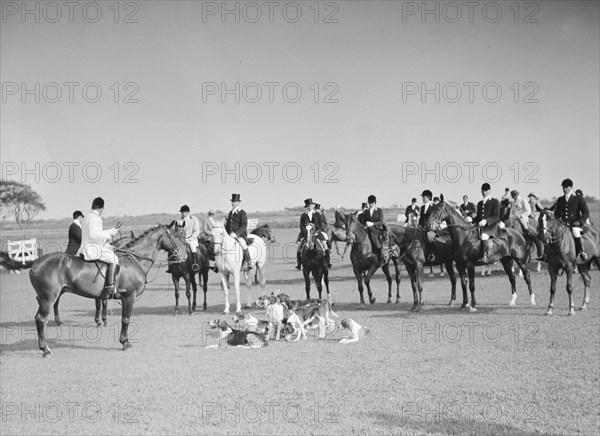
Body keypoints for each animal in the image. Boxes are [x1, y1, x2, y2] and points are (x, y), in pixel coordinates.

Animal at [27, 223, 186, 356]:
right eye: (176, 236)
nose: (184, 255)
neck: (134, 260)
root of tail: (35, 264)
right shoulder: (128, 297)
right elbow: (125, 319)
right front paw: (125, 342)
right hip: (48, 298)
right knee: (41, 319)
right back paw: (45, 349)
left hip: (46, 298)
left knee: (40, 319)